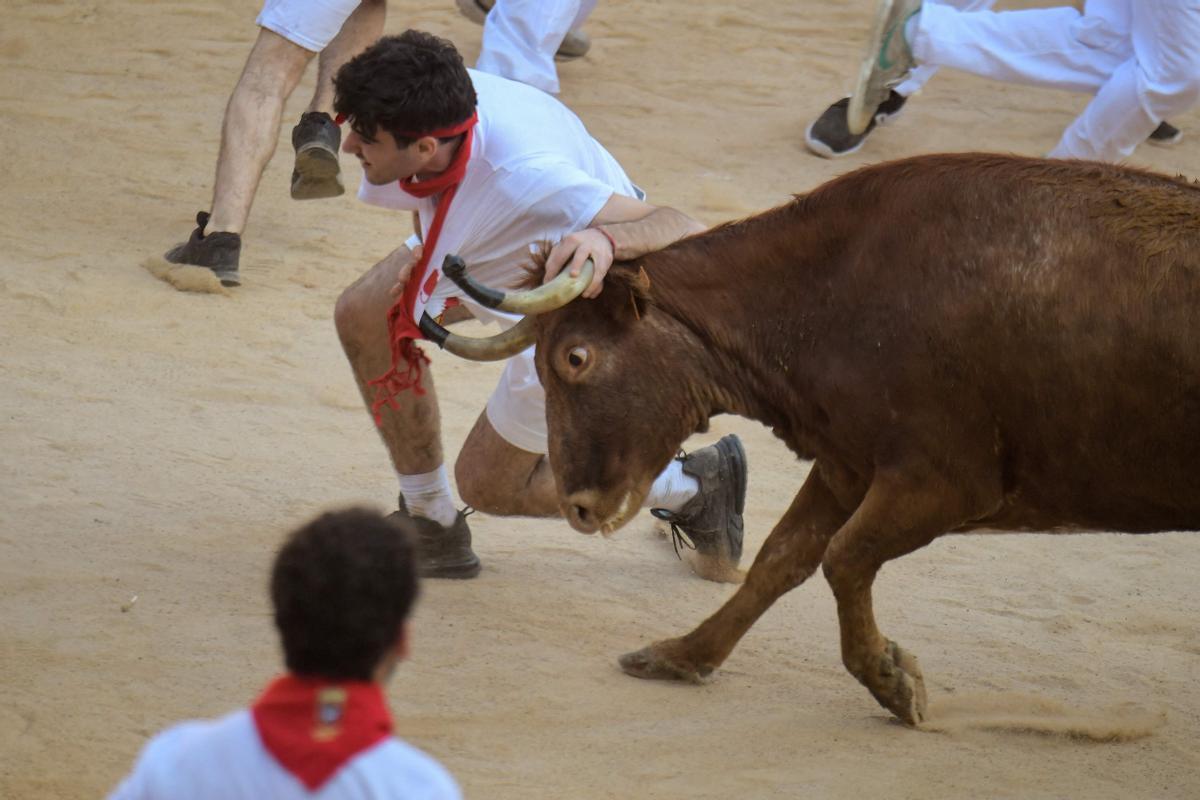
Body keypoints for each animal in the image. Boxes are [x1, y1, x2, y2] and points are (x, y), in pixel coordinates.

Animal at [427, 151, 1195, 724]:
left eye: (575, 357)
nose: (580, 506)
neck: (830, 294)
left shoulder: (943, 482)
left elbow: (843, 556)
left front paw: (893, 680)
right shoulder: (847, 466)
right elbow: (782, 558)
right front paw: (683, 656)